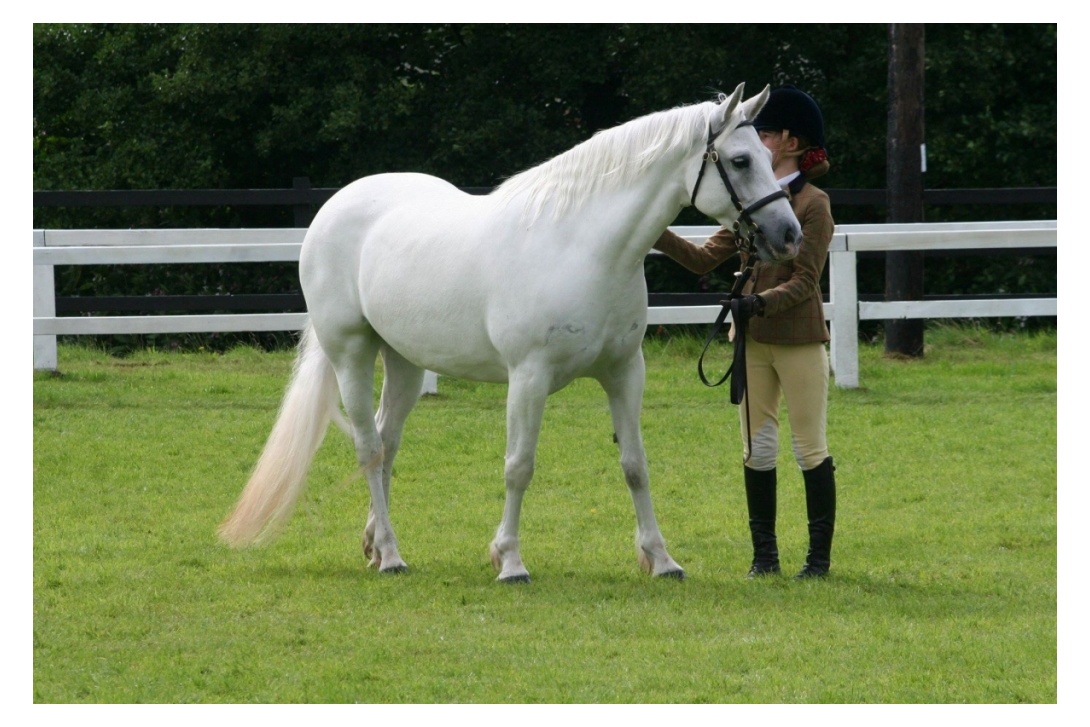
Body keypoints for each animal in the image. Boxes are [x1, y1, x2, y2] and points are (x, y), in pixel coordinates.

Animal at [219, 82, 802, 584]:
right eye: (741, 160)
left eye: (768, 156)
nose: (789, 235)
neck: (583, 248)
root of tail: (333, 208)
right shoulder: (528, 378)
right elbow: (519, 467)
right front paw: (510, 561)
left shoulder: (623, 372)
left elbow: (636, 465)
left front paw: (661, 560)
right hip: (351, 353)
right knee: (369, 448)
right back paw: (391, 556)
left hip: (405, 361)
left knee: (388, 443)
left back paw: (376, 546)